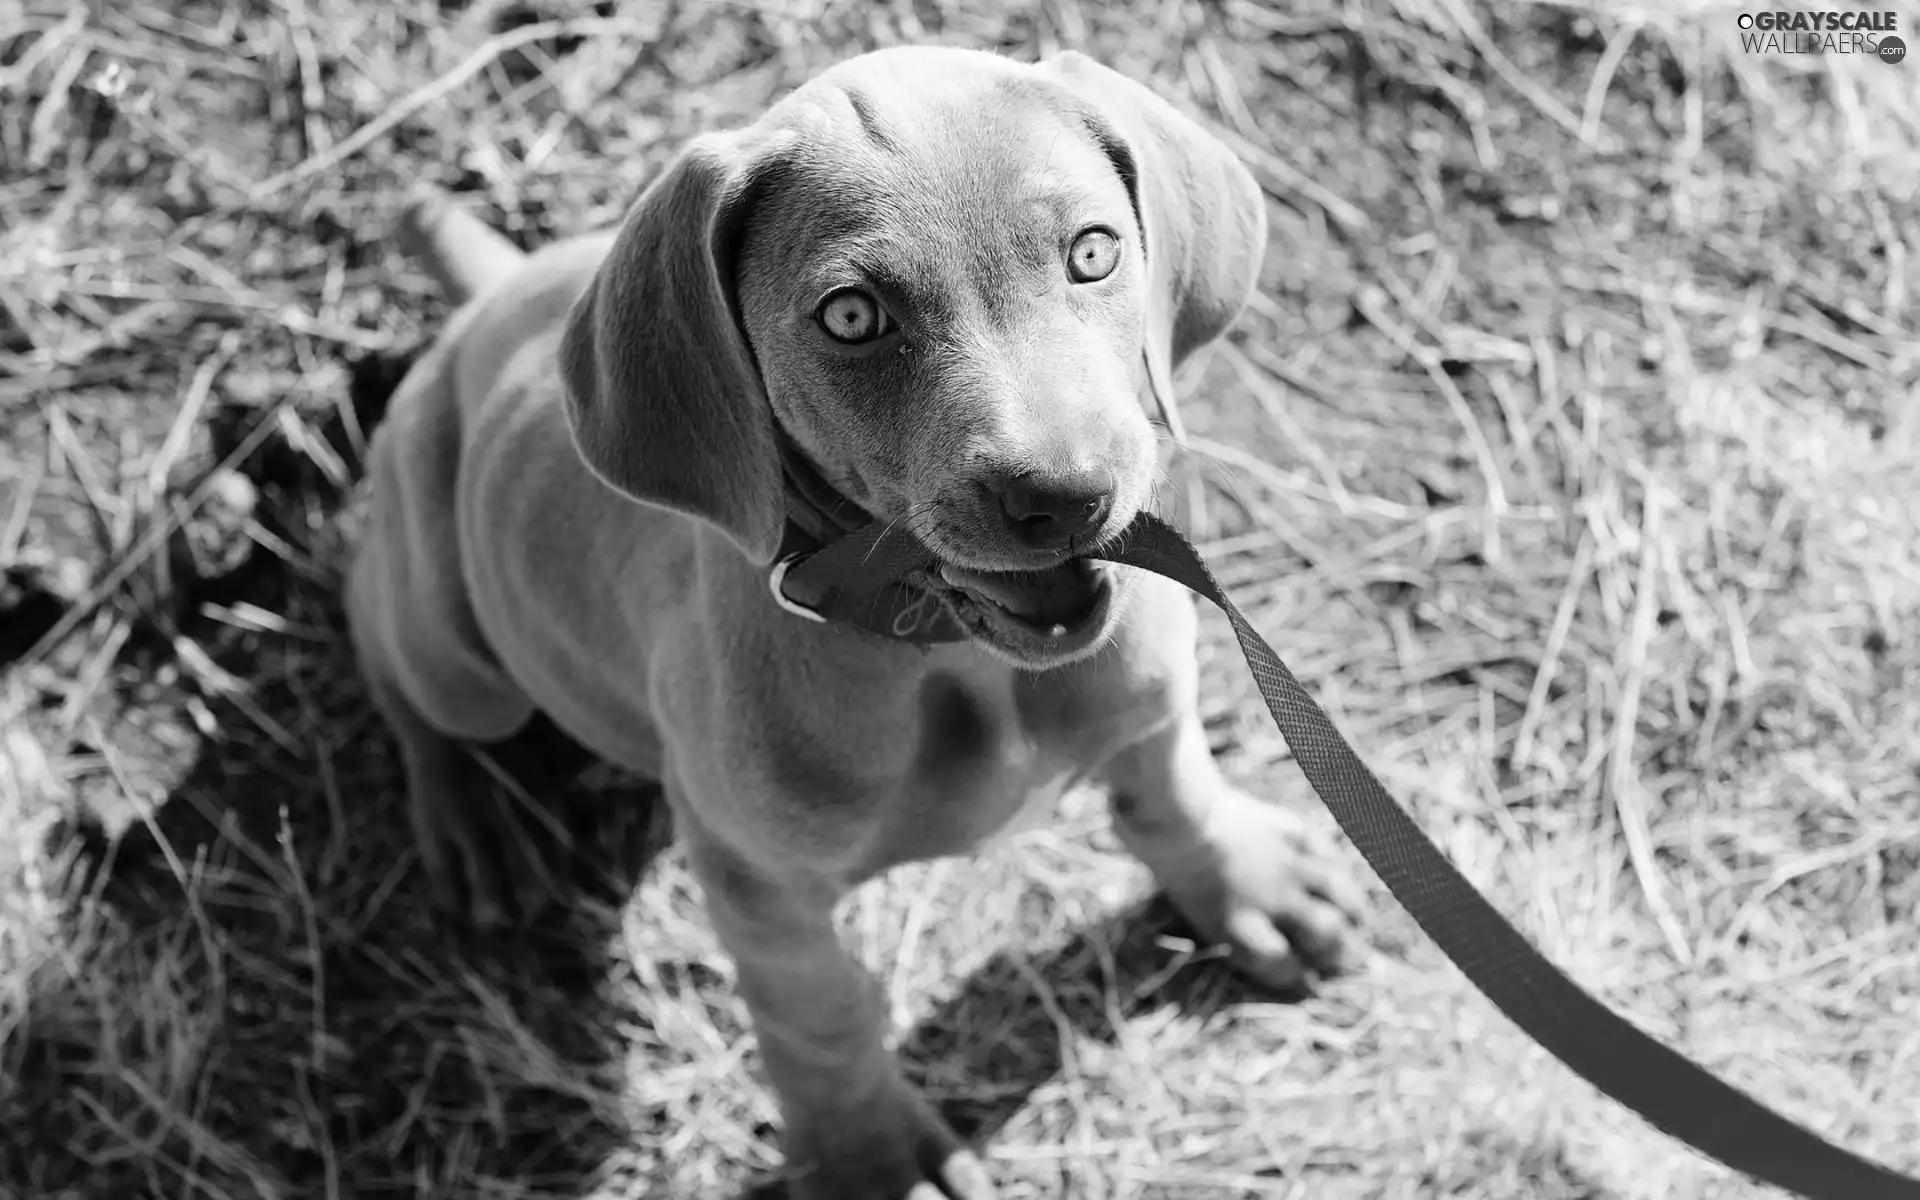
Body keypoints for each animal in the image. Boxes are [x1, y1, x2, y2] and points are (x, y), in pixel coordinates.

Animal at [349, 44, 1367, 1198]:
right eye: (851, 317)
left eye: (1093, 252)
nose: (1062, 497)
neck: (954, 656)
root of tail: (488, 302)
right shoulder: (760, 887)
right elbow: (823, 1017)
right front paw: (871, 1154)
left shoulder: (1152, 690)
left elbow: (1175, 790)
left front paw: (1250, 883)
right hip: (452, 643)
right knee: (393, 659)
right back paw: (472, 818)